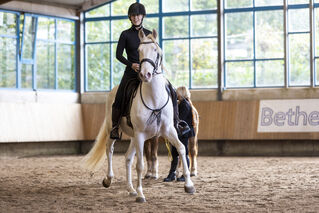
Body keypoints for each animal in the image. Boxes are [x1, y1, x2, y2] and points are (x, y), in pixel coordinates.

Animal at [82, 29, 196, 202]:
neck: (154, 98)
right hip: (114, 130)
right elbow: (140, 165)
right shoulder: (141, 134)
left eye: (156, 51)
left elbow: (182, 149)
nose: (145, 74)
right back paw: (109, 179)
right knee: (110, 149)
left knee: (128, 158)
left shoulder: (168, 130)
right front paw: (141, 194)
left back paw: (130, 189)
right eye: (139, 51)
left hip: (134, 137)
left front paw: (189, 185)